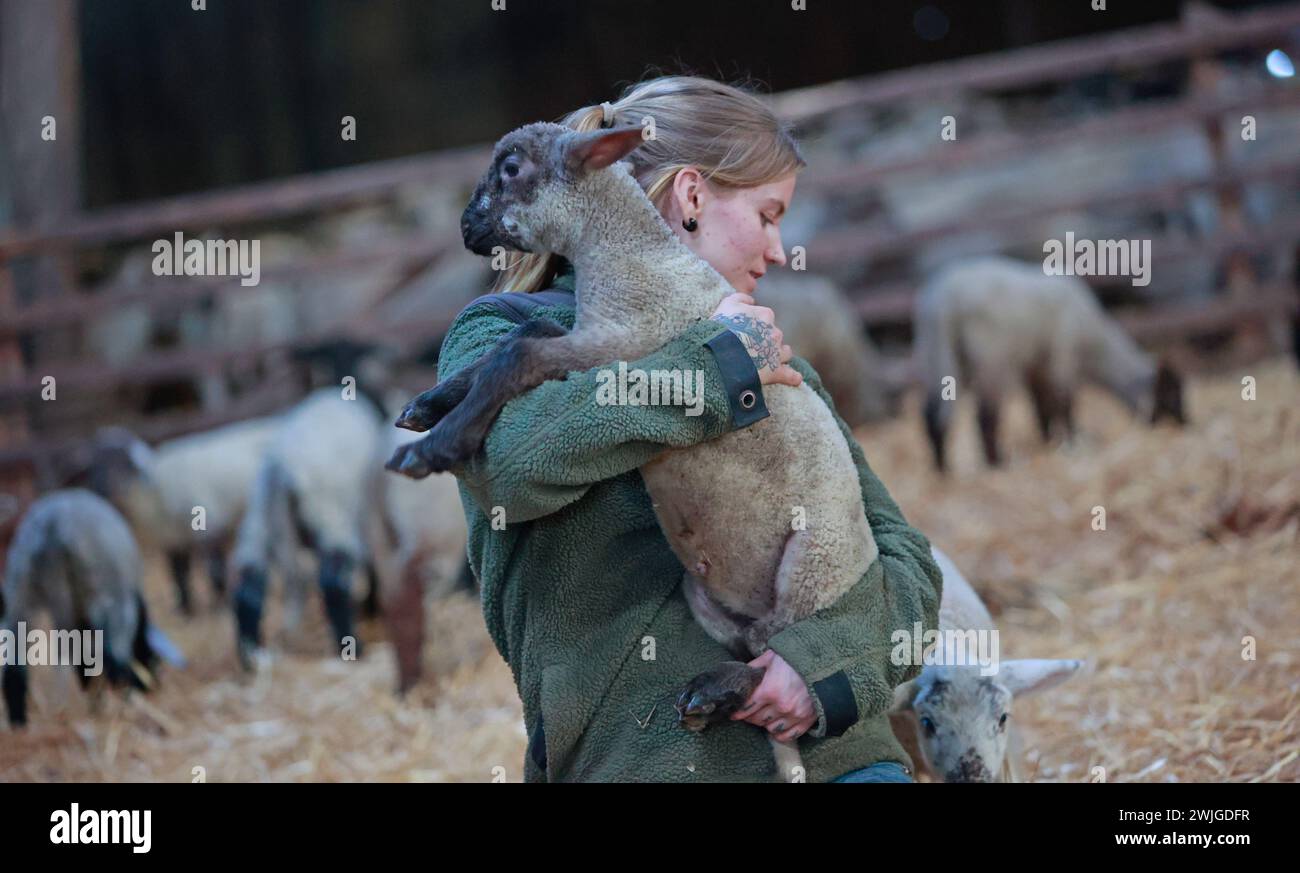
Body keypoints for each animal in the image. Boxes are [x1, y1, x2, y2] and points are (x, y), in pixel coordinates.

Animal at [88, 415, 279, 613]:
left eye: (119, 463)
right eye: (93, 464)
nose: (97, 489)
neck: (153, 489)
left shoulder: (208, 530)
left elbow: (214, 568)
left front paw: (219, 602)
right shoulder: (173, 540)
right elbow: (179, 573)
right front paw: (185, 607)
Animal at [382, 120, 883, 779]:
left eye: (512, 168)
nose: (466, 227)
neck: (630, 255)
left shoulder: (622, 348)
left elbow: (518, 352)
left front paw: (436, 446)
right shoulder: (593, 337)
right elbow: (522, 334)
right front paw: (429, 405)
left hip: (812, 564)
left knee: (782, 652)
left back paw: (710, 690)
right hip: (708, 599)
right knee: (759, 647)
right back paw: (713, 698)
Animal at [909, 255, 1185, 472]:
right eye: (1171, 394)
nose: (1186, 423)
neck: (1095, 345)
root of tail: (942, 301)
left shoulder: (1037, 366)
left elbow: (1042, 405)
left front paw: (1049, 441)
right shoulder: (1064, 354)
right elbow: (1065, 403)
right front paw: (1073, 441)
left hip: (935, 351)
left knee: (931, 412)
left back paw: (942, 469)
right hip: (993, 358)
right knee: (985, 415)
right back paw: (996, 463)